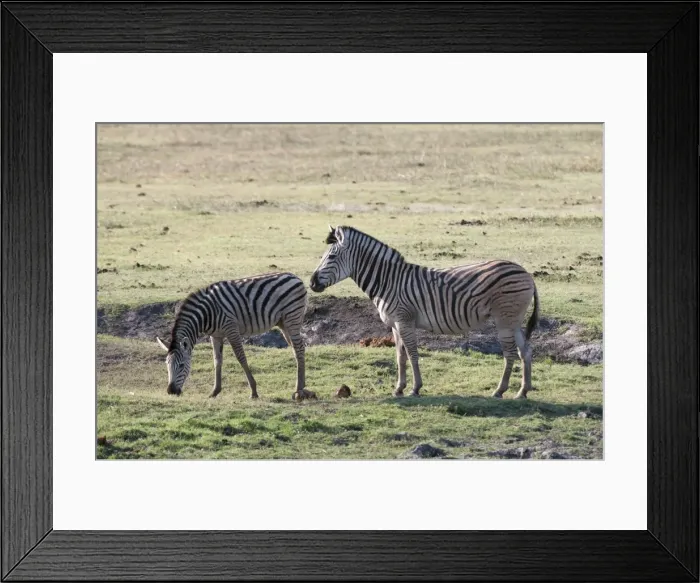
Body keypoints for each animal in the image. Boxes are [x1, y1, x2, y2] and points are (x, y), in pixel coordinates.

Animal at [156, 272, 311, 400]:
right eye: (167, 364)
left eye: (182, 365)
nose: (171, 391)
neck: (206, 314)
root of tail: (295, 277)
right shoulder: (216, 335)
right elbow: (217, 360)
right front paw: (215, 391)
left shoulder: (231, 329)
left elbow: (241, 357)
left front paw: (254, 391)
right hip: (283, 323)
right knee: (297, 349)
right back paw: (301, 387)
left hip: (292, 318)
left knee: (299, 348)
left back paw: (298, 390)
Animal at [309, 226, 539, 399]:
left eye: (331, 256)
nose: (311, 283)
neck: (388, 281)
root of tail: (525, 272)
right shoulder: (395, 325)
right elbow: (400, 356)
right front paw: (399, 388)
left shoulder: (404, 320)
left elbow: (412, 353)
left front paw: (415, 388)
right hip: (514, 320)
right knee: (525, 352)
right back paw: (522, 392)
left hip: (504, 319)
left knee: (510, 354)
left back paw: (500, 391)